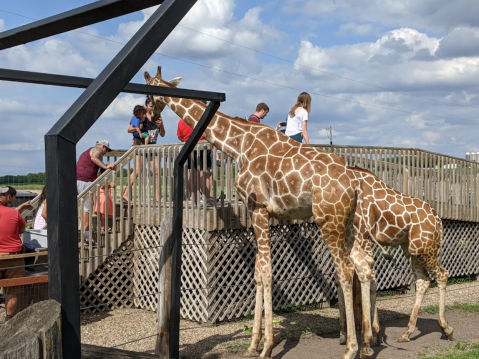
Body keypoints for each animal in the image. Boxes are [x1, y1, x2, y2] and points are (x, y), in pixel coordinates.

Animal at [145, 66, 364, 358]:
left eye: (149, 94)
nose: (150, 116)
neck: (239, 145)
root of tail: (353, 185)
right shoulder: (255, 211)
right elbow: (258, 273)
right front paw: (252, 344)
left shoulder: (259, 208)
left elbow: (267, 272)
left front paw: (267, 346)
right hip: (348, 223)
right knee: (358, 267)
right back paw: (365, 339)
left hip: (329, 220)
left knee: (346, 270)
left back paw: (351, 348)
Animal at [340, 167, 456, 358]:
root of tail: (438, 219)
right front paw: (369, 336)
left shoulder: (362, 235)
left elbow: (367, 280)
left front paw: (370, 338)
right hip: (410, 249)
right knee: (423, 281)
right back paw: (406, 333)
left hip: (423, 247)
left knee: (442, 274)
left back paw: (446, 329)